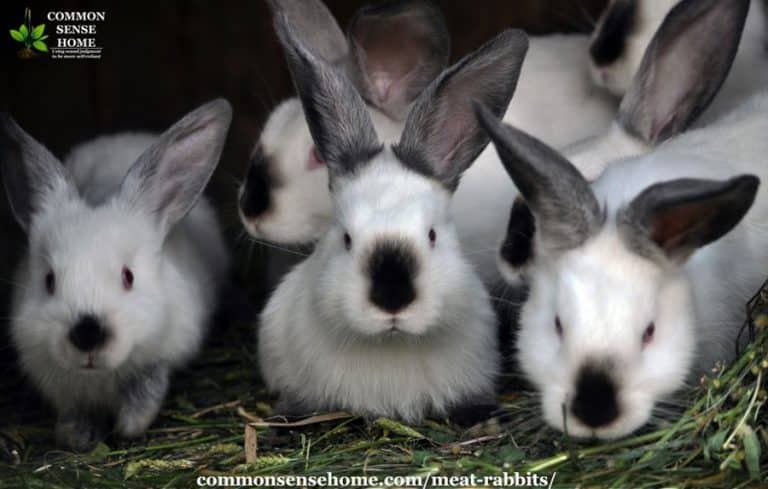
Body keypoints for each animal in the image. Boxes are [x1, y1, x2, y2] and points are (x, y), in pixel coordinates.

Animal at [0, 99, 232, 451]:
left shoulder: (162, 356)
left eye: (128, 276)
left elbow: (147, 391)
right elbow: (73, 412)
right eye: (49, 281)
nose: (87, 334)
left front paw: (128, 428)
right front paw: (76, 437)